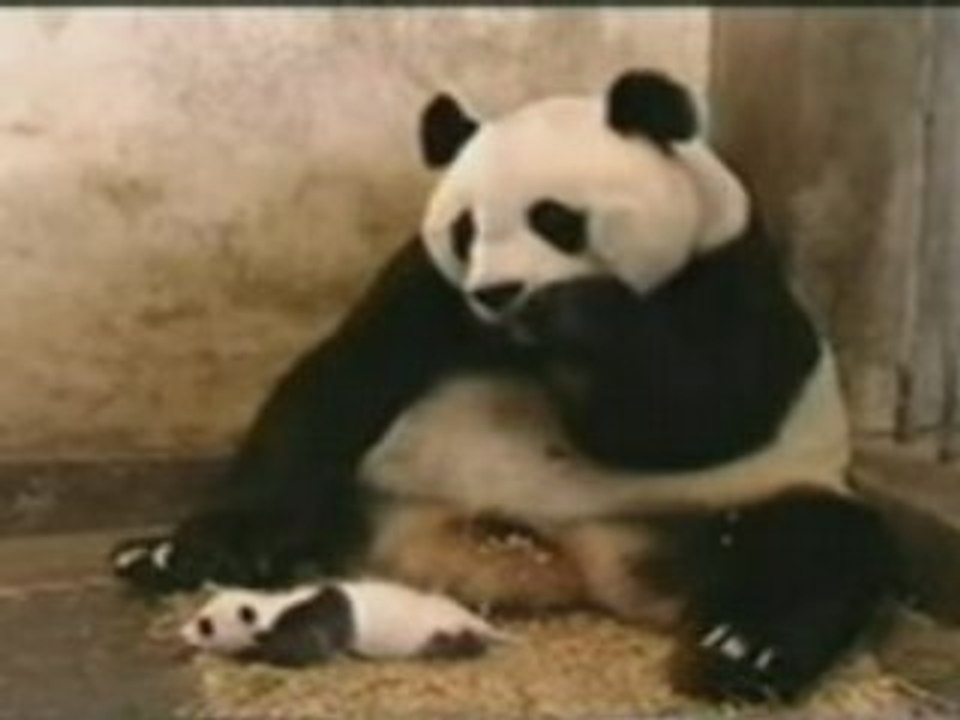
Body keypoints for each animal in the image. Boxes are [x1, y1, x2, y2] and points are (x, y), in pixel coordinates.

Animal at [111, 70, 896, 703]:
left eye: (556, 218)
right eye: (466, 229)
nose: (499, 292)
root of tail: (562, 563)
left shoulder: (730, 274)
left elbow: (696, 414)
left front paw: (578, 314)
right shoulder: (428, 285)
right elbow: (340, 382)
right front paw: (206, 546)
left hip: (720, 506)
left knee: (819, 546)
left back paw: (739, 650)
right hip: (381, 487)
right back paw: (159, 557)